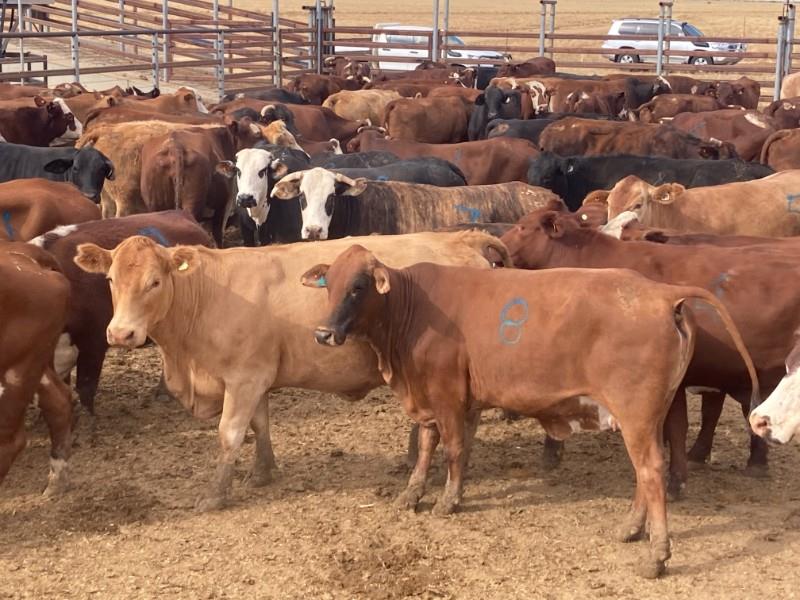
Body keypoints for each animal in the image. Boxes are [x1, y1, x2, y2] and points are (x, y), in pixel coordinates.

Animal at [73, 230, 512, 511]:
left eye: (155, 281)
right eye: (110, 278)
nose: (121, 333)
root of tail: (460, 238)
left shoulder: (244, 378)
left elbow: (230, 434)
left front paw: (216, 494)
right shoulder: (256, 376)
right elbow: (260, 425)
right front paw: (262, 471)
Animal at [305, 243, 757, 579]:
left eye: (358, 286)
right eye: (330, 284)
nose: (323, 333)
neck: (411, 309)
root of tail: (660, 293)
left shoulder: (447, 395)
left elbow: (452, 450)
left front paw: (447, 501)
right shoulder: (443, 401)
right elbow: (433, 449)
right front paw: (413, 494)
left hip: (637, 417)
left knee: (651, 471)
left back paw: (656, 555)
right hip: (651, 416)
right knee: (648, 472)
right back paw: (631, 529)